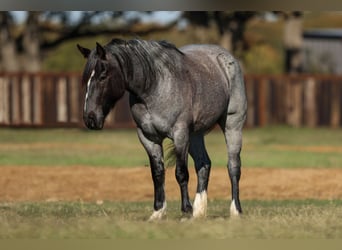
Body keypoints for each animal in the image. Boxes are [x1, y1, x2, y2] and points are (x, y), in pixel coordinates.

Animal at [77, 38, 248, 220]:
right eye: (86, 79)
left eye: (102, 76)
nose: (90, 118)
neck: (154, 87)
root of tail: (226, 58)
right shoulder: (148, 138)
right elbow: (158, 173)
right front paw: (158, 211)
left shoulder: (180, 134)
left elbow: (181, 173)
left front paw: (186, 209)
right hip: (195, 135)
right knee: (204, 164)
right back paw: (199, 212)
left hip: (232, 126)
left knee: (233, 166)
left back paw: (235, 210)